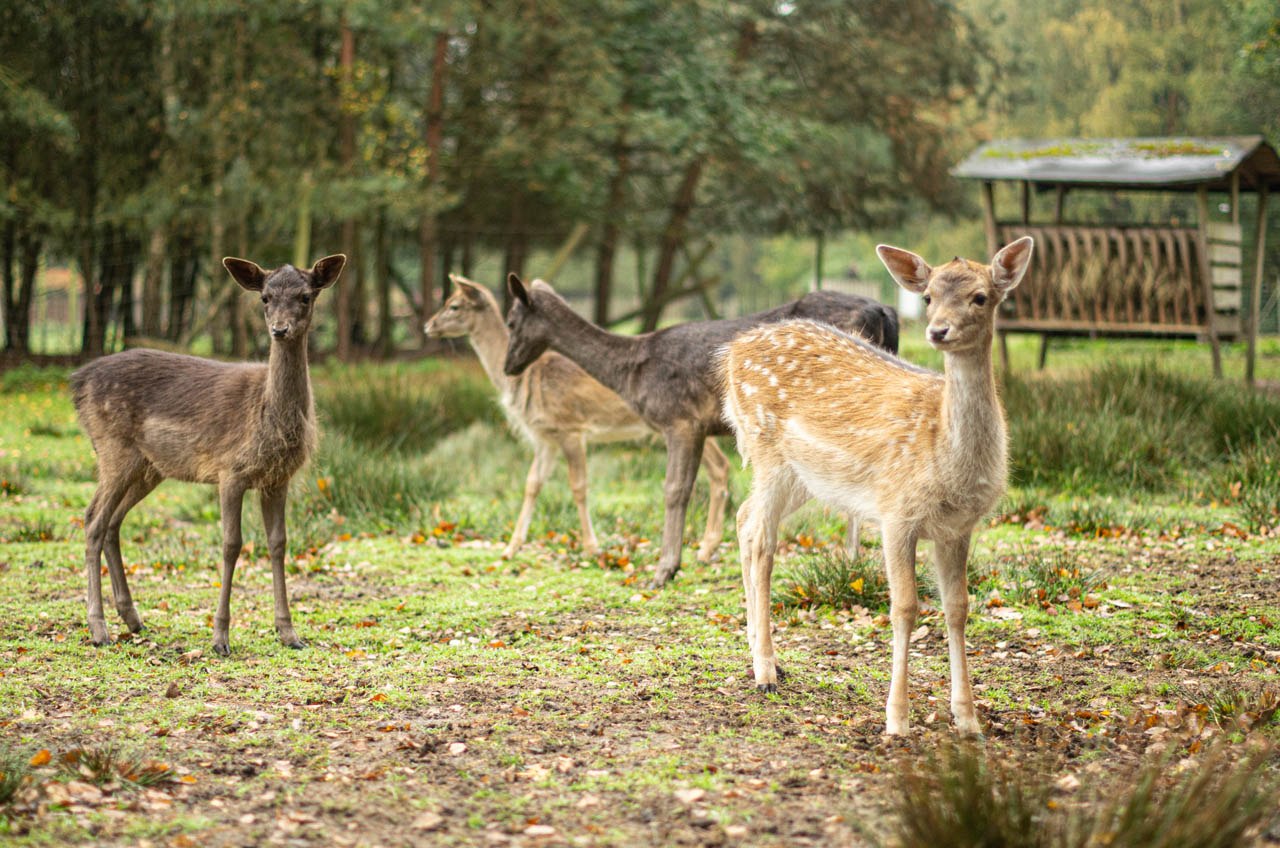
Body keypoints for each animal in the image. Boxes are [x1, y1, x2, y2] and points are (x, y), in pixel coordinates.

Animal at [71, 253, 345, 655]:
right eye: (265, 297)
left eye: (306, 296)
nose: (279, 330)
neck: (267, 415)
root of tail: (77, 383)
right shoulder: (230, 471)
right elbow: (232, 544)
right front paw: (220, 638)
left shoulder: (277, 479)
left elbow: (278, 544)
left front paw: (289, 633)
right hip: (112, 449)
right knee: (92, 520)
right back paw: (99, 628)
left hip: (148, 468)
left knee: (112, 522)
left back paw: (133, 619)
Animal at [424, 275, 732, 561]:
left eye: (454, 305)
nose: (428, 326)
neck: (523, 381)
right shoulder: (544, 436)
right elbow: (532, 484)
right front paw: (511, 548)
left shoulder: (570, 426)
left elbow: (579, 486)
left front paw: (591, 547)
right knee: (721, 466)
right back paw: (708, 547)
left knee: (720, 466)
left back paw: (706, 548)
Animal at [501, 275, 901, 589]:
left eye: (511, 321)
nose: (507, 367)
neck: (632, 374)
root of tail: (883, 311)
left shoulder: (679, 419)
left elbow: (675, 490)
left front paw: (664, 570)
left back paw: (852, 560)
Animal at [727, 239, 1034, 737]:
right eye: (927, 296)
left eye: (981, 297)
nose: (938, 330)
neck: (945, 457)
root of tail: (730, 353)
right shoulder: (896, 512)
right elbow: (904, 608)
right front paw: (897, 720)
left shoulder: (958, 527)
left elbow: (958, 607)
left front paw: (968, 719)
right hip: (767, 450)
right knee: (761, 538)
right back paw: (766, 670)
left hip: (802, 476)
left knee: (742, 517)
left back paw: (762, 655)